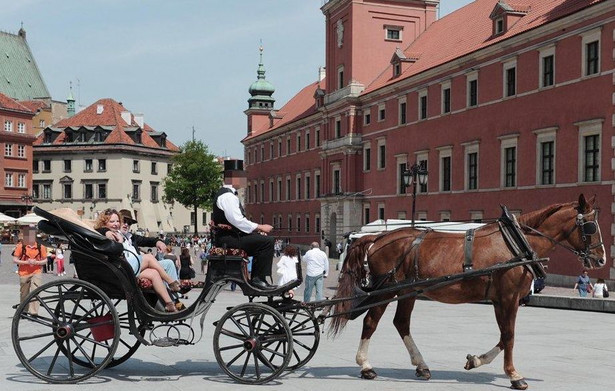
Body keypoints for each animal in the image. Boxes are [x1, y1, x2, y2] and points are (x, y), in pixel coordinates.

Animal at [332, 194, 608, 390]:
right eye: (591, 226)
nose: (601, 259)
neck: (517, 243)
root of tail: (377, 238)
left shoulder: (502, 299)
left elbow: (504, 335)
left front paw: (475, 360)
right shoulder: (508, 297)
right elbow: (509, 336)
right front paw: (514, 375)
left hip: (408, 290)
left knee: (401, 323)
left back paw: (421, 366)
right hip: (387, 290)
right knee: (370, 321)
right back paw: (366, 366)